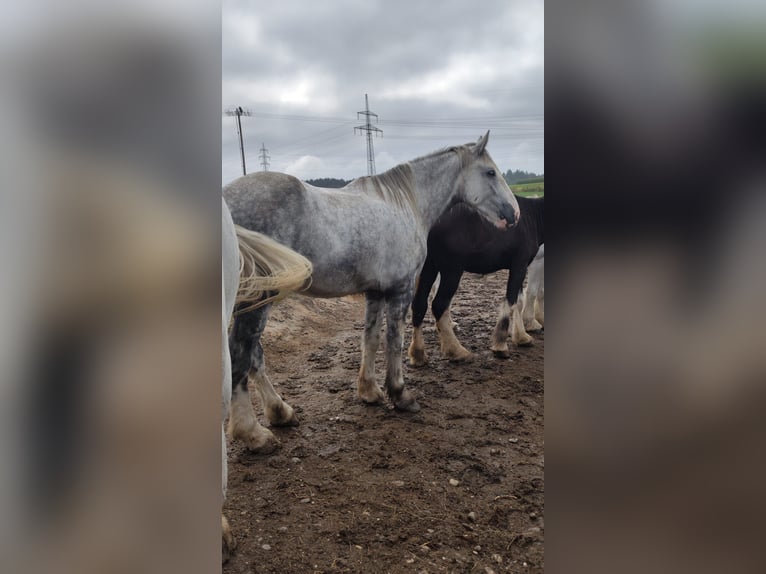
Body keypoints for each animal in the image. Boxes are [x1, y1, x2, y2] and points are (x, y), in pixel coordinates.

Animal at [223, 131, 520, 451]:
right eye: (490, 172)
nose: (514, 213)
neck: (405, 205)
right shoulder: (401, 290)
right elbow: (394, 341)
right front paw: (400, 395)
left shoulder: (375, 293)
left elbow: (371, 339)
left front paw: (369, 391)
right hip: (257, 301)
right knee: (241, 356)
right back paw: (253, 433)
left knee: (254, 357)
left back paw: (281, 412)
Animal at [408, 194, 544, 365]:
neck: (532, 216)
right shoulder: (520, 265)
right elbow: (511, 300)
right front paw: (501, 345)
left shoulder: (519, 267)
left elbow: (517, 302)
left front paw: (521, 337)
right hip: (451, 271)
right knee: (439, 305)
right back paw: (456, 350)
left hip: (428, 268)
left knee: (419, 305)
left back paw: (418, 353)